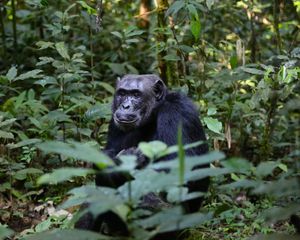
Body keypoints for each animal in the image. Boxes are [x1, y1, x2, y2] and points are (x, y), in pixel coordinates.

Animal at [75, 74, 209, 238]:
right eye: (122, 93)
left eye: (136, 95)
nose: (125, 106)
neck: (154, 114)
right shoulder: (114, 120)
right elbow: (108, 153)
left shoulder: (177, 113)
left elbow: (178, 171)